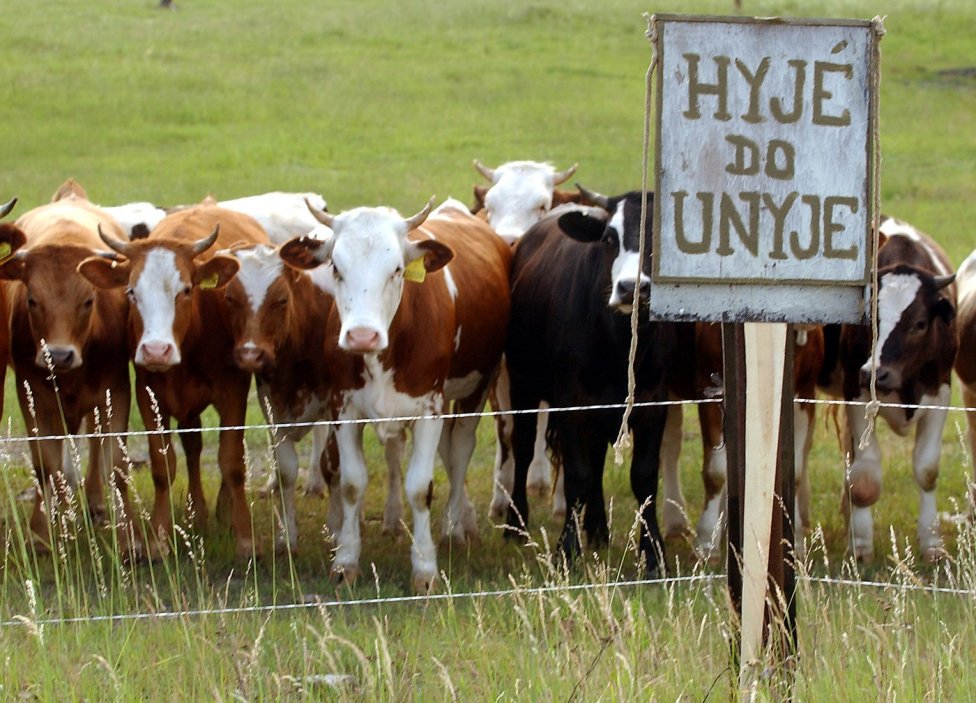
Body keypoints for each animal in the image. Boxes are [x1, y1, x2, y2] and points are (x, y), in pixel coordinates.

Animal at [0, 179, 137, 552]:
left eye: (88, 301)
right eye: (32, 300)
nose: (59, 356)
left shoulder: (117, 389)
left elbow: (115, 462)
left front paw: (128, 537)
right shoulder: (31, 395)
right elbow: (45, 464)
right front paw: (39, 532)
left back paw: (93, 503)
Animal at [79, 199, 266, 560]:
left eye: (187, 290)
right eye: (131, 292)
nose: (156, 350)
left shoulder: (234, 390)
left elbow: (232, 460)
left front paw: (246, 538)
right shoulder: (148, 393)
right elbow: (162, 465)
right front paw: (159, 537)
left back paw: (223, 510)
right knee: (192, 447)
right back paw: (199, 510)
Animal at [278, 197, 510, 592]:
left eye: (397, 269)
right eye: (335, 267)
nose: (361, 336)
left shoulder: (430, 409)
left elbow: (420, 487)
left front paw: (425, 568)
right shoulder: (344, 408)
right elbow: (352, 483)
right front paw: (345, 561)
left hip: (476, 387)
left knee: (460, 449)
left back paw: (454, 527)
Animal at [504, 190, 680, 576]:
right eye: (610, 238)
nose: (631, 288)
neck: (618, 342)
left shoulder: (654, 402)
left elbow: (644, 476)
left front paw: (653, 554)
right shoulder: (571, 402)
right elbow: (578, 475)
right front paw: (567, 551)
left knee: (598, 454)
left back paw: (598, 527)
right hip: (522, 383)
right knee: (523, 448)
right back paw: (515, 522)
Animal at [820, 217, 956, 564]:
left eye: (920, 323)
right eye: (872, 318)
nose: (876, 373)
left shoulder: (940, 392)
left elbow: (927, 470)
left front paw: (932, 543)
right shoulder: (857, 393)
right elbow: (865, 479)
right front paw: (861, 547)